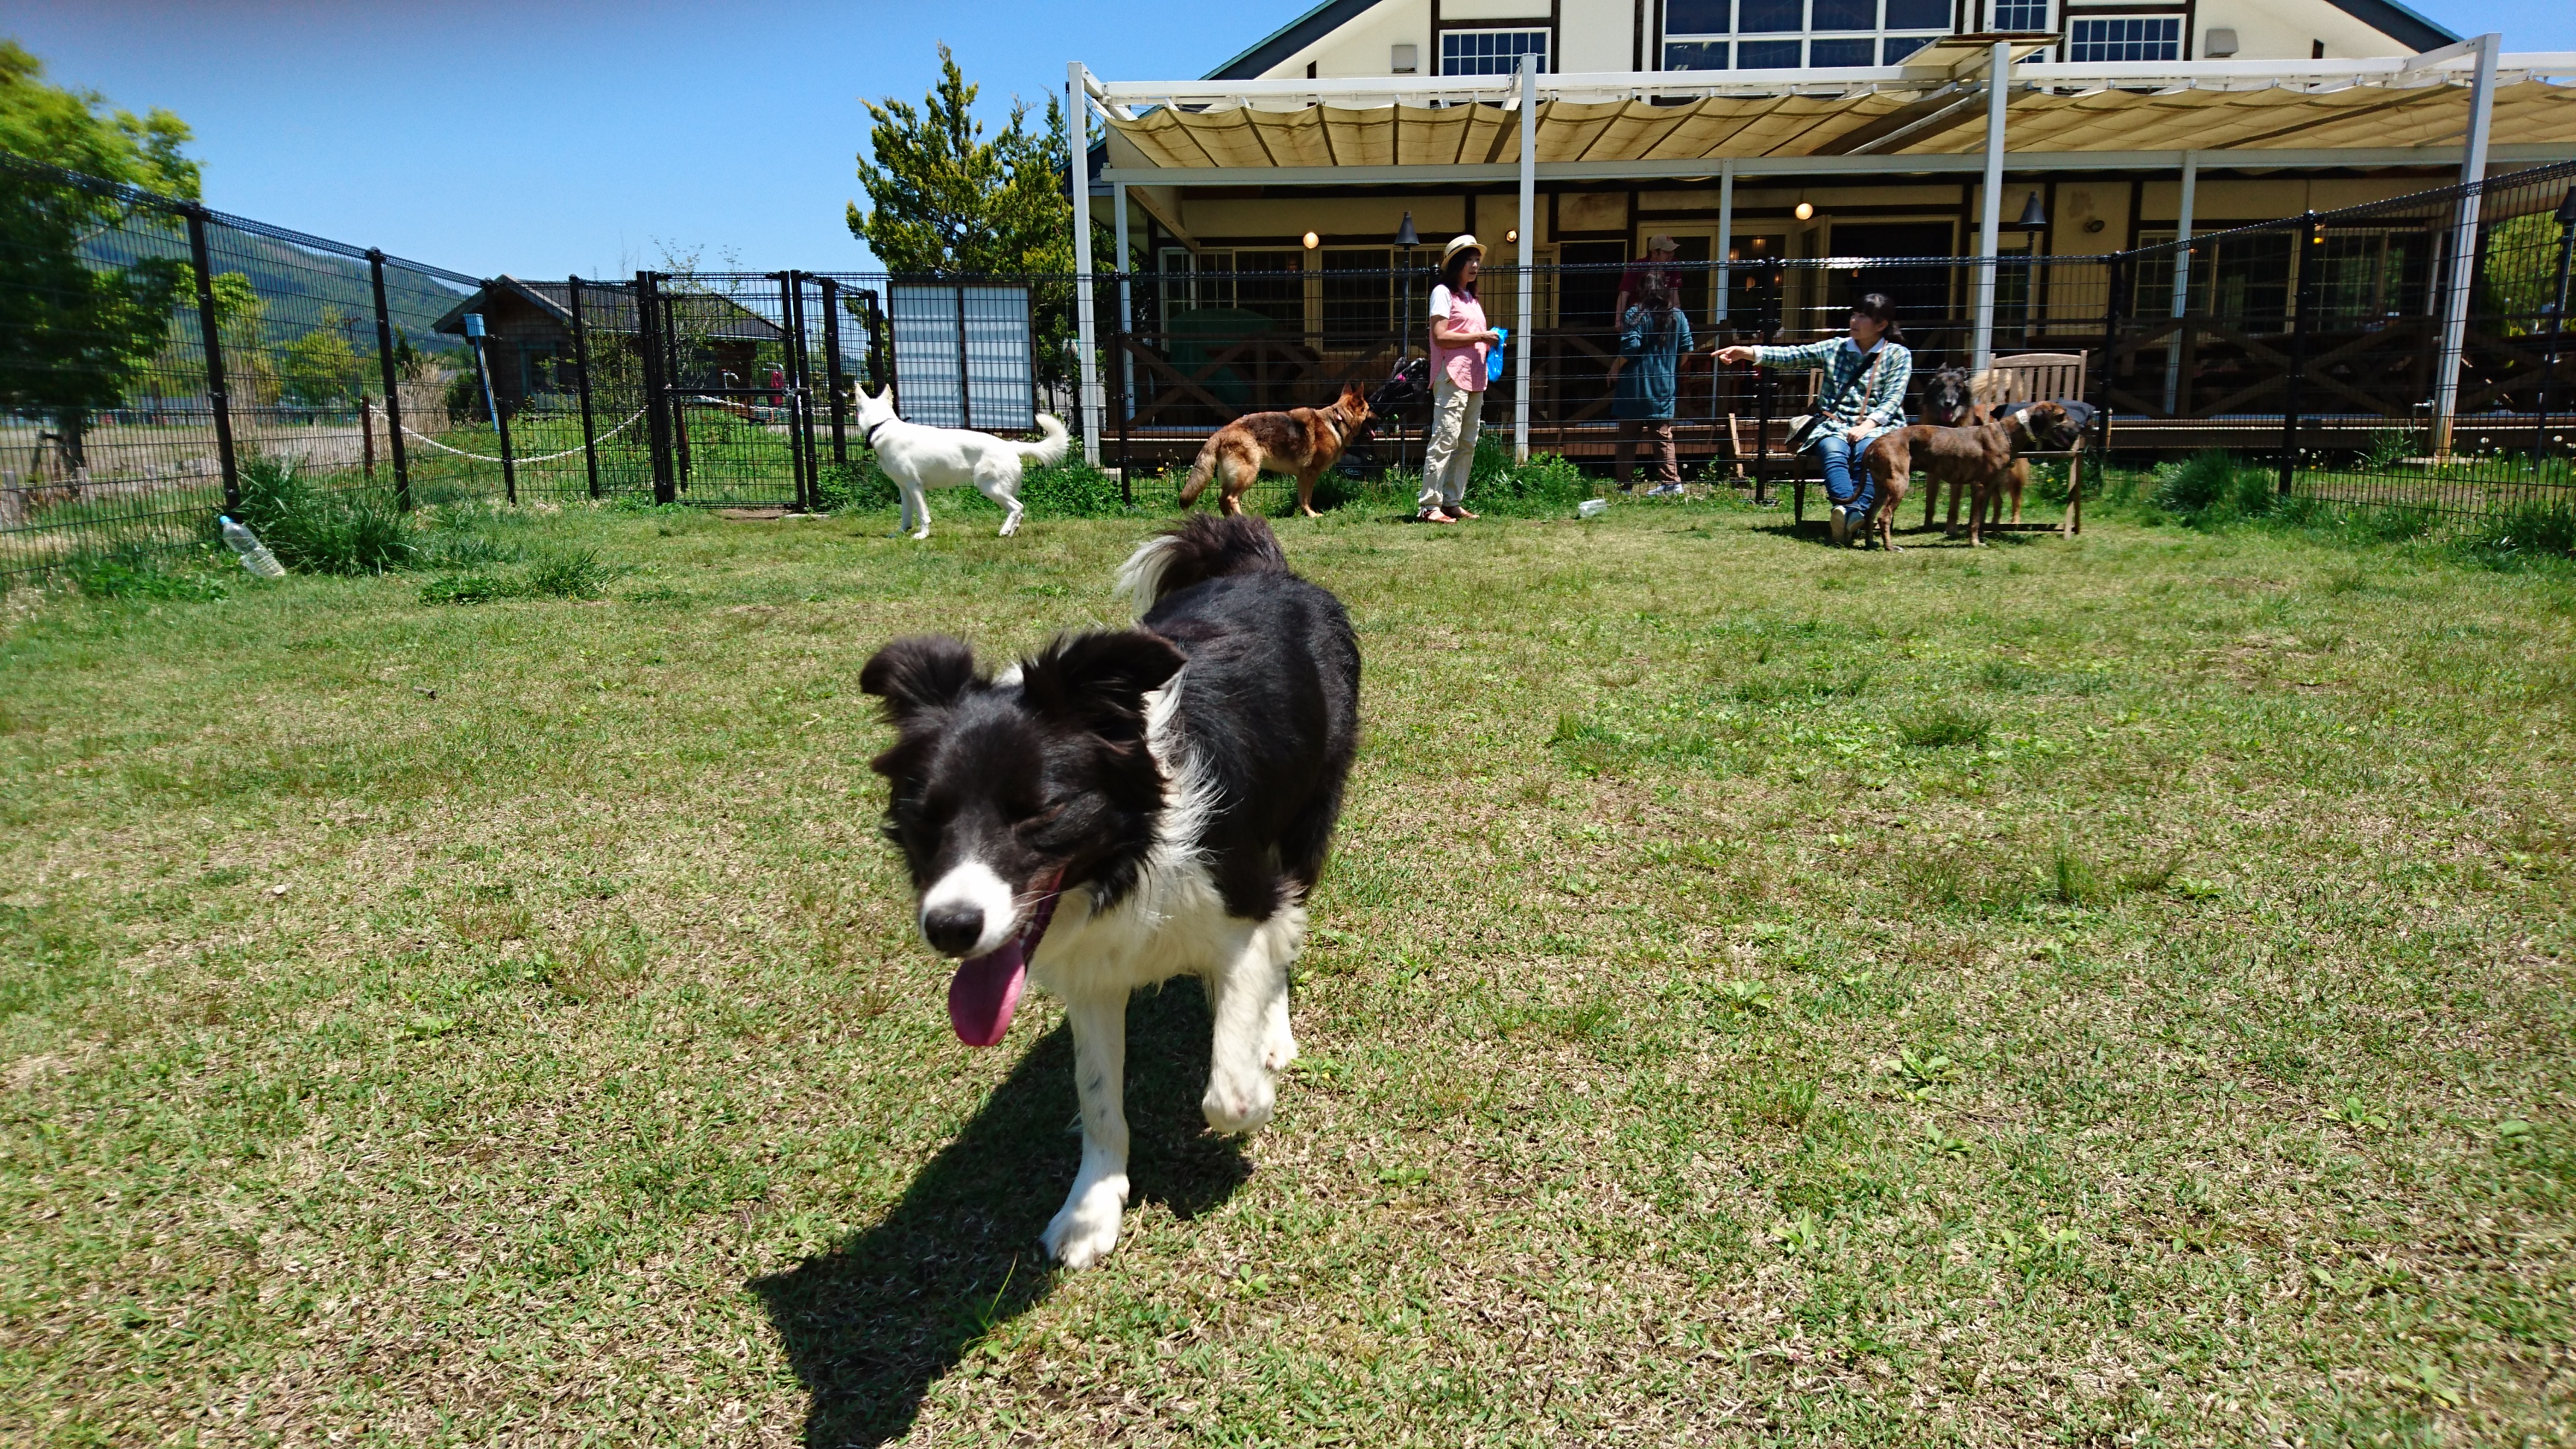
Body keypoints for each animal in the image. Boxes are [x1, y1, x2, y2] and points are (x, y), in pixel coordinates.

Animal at [855, 381, 1066, 539]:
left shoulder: (915, 486)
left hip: (990, 488)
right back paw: (1011, 531)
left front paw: (923, 535)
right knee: (1018, 511)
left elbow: (923, 514)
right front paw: (900, 533)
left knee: (1018, 507)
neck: (881, 426)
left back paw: (1004, 530)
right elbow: (906, 515)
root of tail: (1010, 445)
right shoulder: (904, 489)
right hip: (1000, 490)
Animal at [1179, 384, 1381, 518]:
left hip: (1234, 476)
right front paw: (1311, 514)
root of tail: (1219, 433)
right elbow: (1307, 498)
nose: (1380, 419)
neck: (1337, 422)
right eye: (1369, 409)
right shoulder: (1310, 474)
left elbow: (1301, 498)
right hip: (1248, 474)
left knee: (1222, 499)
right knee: (1230, 498)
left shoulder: (1302, 477)